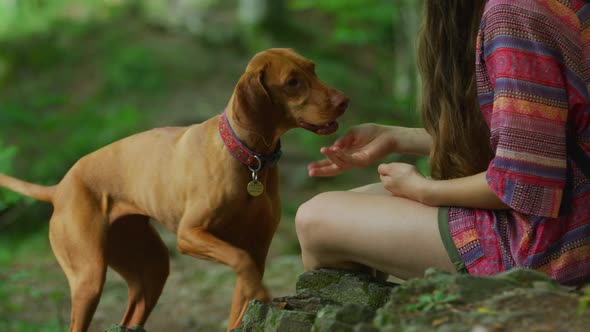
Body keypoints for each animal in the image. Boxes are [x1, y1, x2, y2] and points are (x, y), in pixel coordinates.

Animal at [0, 48, 350, 330]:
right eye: (292, 82)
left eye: (313, 68)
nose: (344, 101)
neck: (249, 159)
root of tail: (59, 188)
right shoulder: (191, 235)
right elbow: (240, 261)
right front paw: (264, 294)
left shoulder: (258, 248)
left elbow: (243, 293)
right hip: (88, 276)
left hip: (151, 267)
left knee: (131, 315)